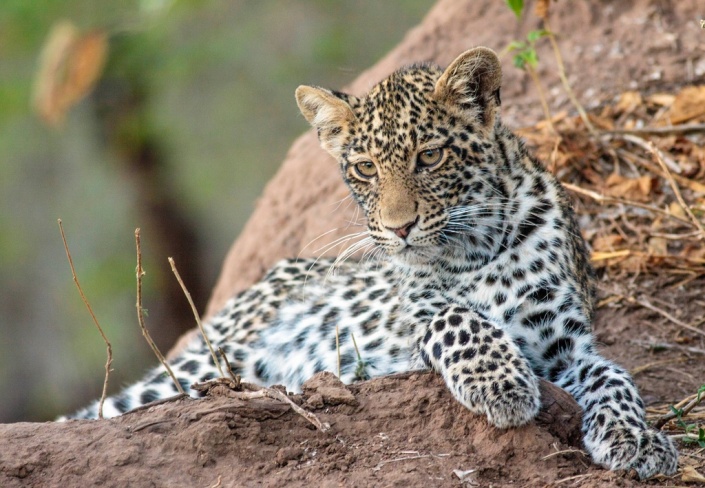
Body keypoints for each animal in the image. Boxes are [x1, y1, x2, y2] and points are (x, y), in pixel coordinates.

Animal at [63, 47, 678, 479]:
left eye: (429, 157)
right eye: (364, 169)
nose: (399, 227)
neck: (479, 248)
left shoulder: (567, 348)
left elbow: (615, 376)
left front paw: (639, 440)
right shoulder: (417, 318)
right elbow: (457, 318)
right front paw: (500, 384)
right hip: (207, 361)